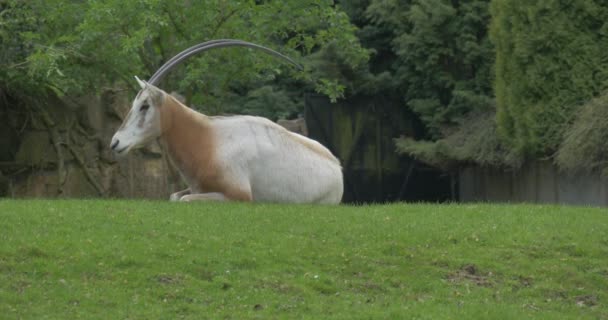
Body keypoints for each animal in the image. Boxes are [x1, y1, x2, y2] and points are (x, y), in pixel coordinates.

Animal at [110, 76, 344, 204]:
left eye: (145, 105)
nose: (115, 143)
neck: (206, 139)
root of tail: (337, 167)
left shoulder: (238, 196)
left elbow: (183, 200)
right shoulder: (198, 188)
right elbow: (174, 196)